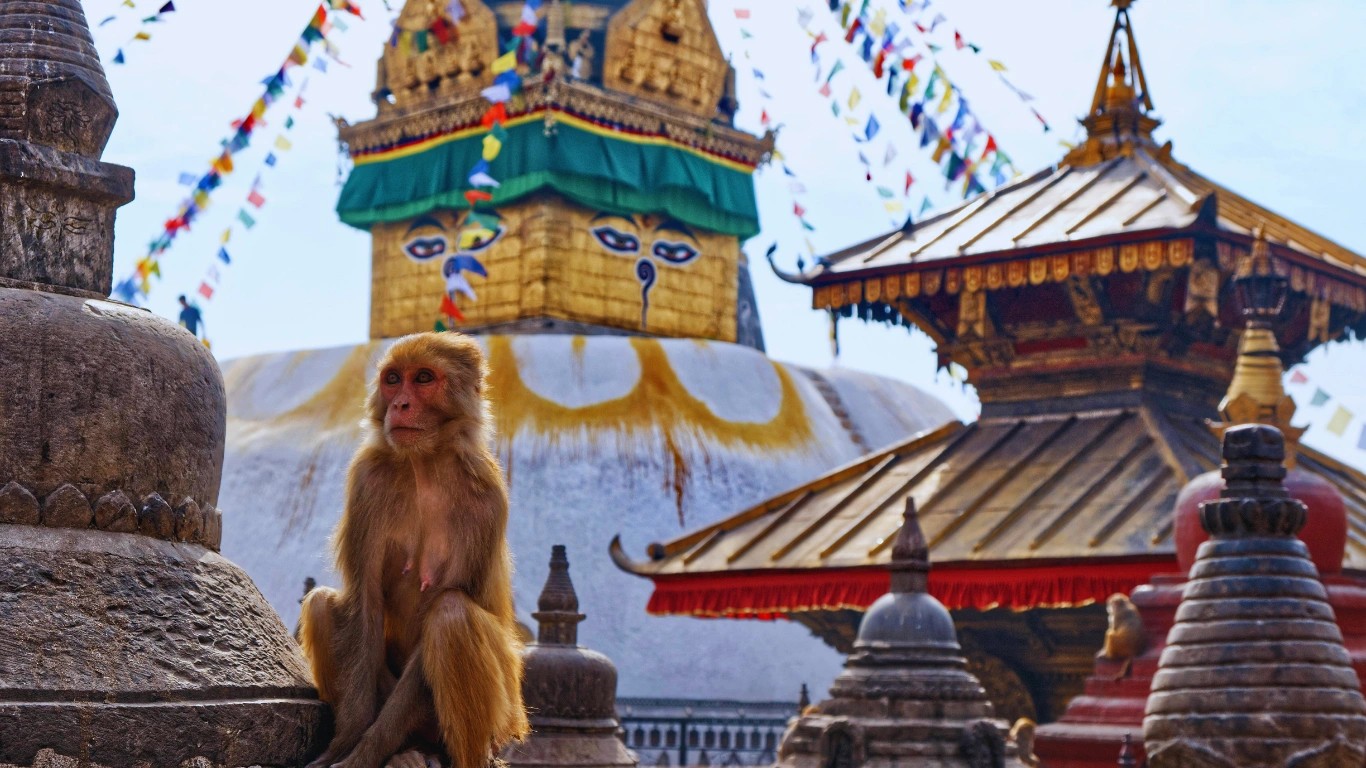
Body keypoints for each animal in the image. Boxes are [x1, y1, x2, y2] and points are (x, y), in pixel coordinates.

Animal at [298, 332, 530, 768]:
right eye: (393, 380)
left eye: (423, 378)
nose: (400, 404)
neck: (425, 462)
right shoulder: (367, 481)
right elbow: (365, 604)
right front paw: (345, 745)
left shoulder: (487, 499)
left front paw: (364, 754)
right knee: (320, 603)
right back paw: (408, 751)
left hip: (503, 711)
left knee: (452, 616)